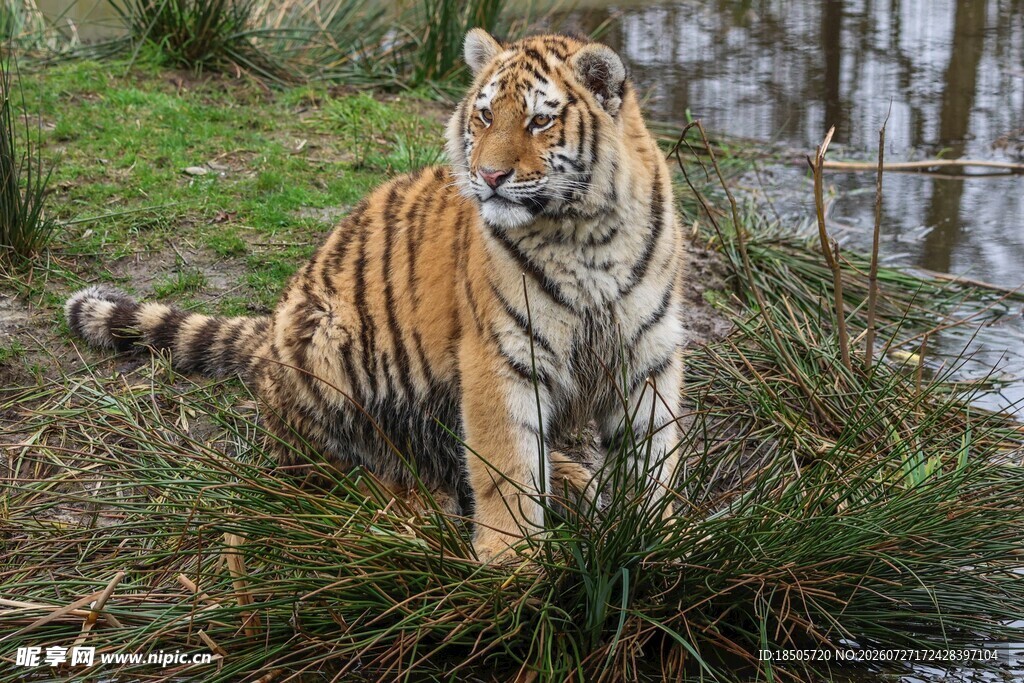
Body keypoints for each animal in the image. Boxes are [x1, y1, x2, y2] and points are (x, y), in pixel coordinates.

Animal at [64, 29, 686, 562]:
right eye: (485, 115)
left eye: (538, 121)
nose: (489, 177)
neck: (585, 235)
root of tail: (268, 339)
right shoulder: (500, 357)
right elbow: (505, 470)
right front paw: (513, 565)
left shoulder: (649, 352)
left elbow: (654, 458)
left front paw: (659, 541)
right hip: (328, 347)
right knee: (331, 467)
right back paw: (411, 503)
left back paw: (571, 479)